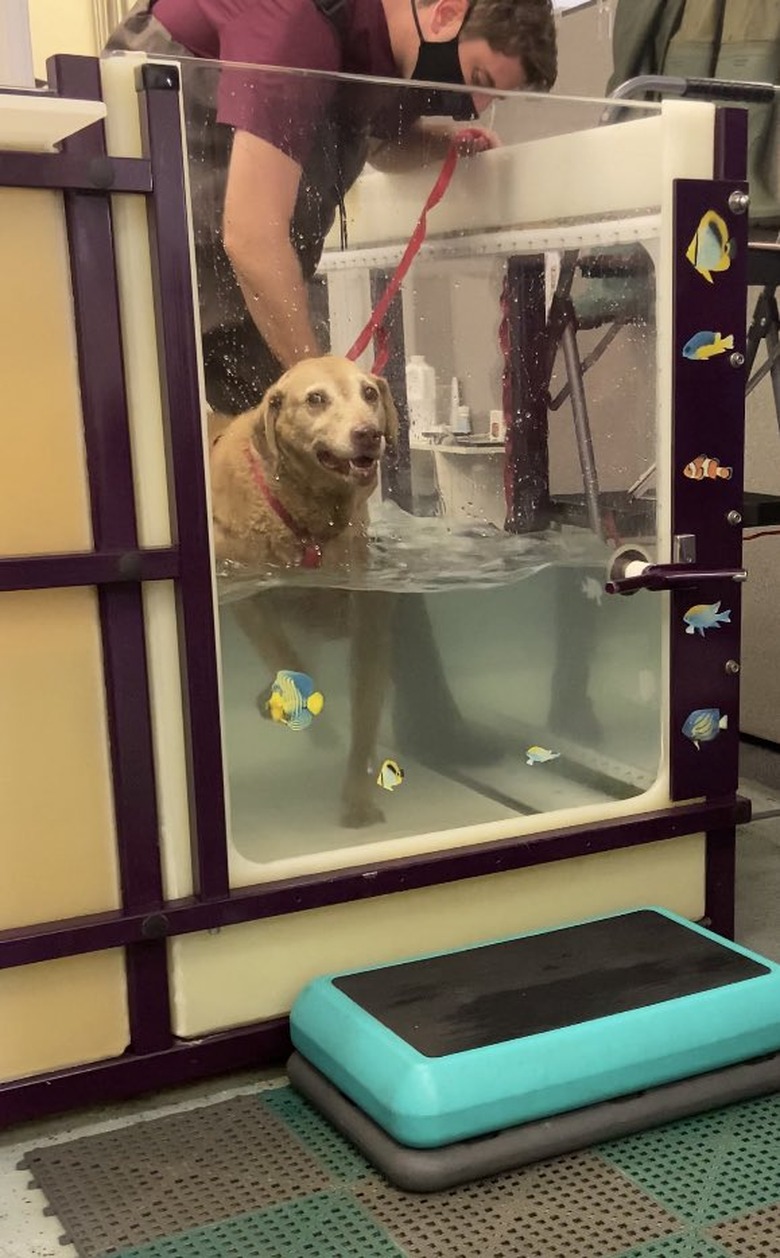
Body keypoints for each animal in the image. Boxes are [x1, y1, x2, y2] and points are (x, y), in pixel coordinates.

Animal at [210, 354, 400, 825]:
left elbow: (365, 708)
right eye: (315, 399)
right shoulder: (248, 596)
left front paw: (357, 801)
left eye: (369, 393)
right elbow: (284, 655)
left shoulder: (367, 611)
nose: (367, 434)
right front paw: (281, 697)